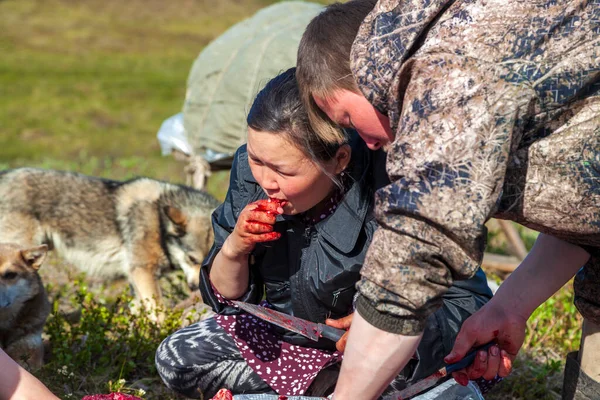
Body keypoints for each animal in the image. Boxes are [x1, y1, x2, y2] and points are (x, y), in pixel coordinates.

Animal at [0, 169, 220, 312]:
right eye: (192, 259)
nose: (197, 289)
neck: (158, 220)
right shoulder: (143, 272)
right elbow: (159, 314)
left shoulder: (136, 279)